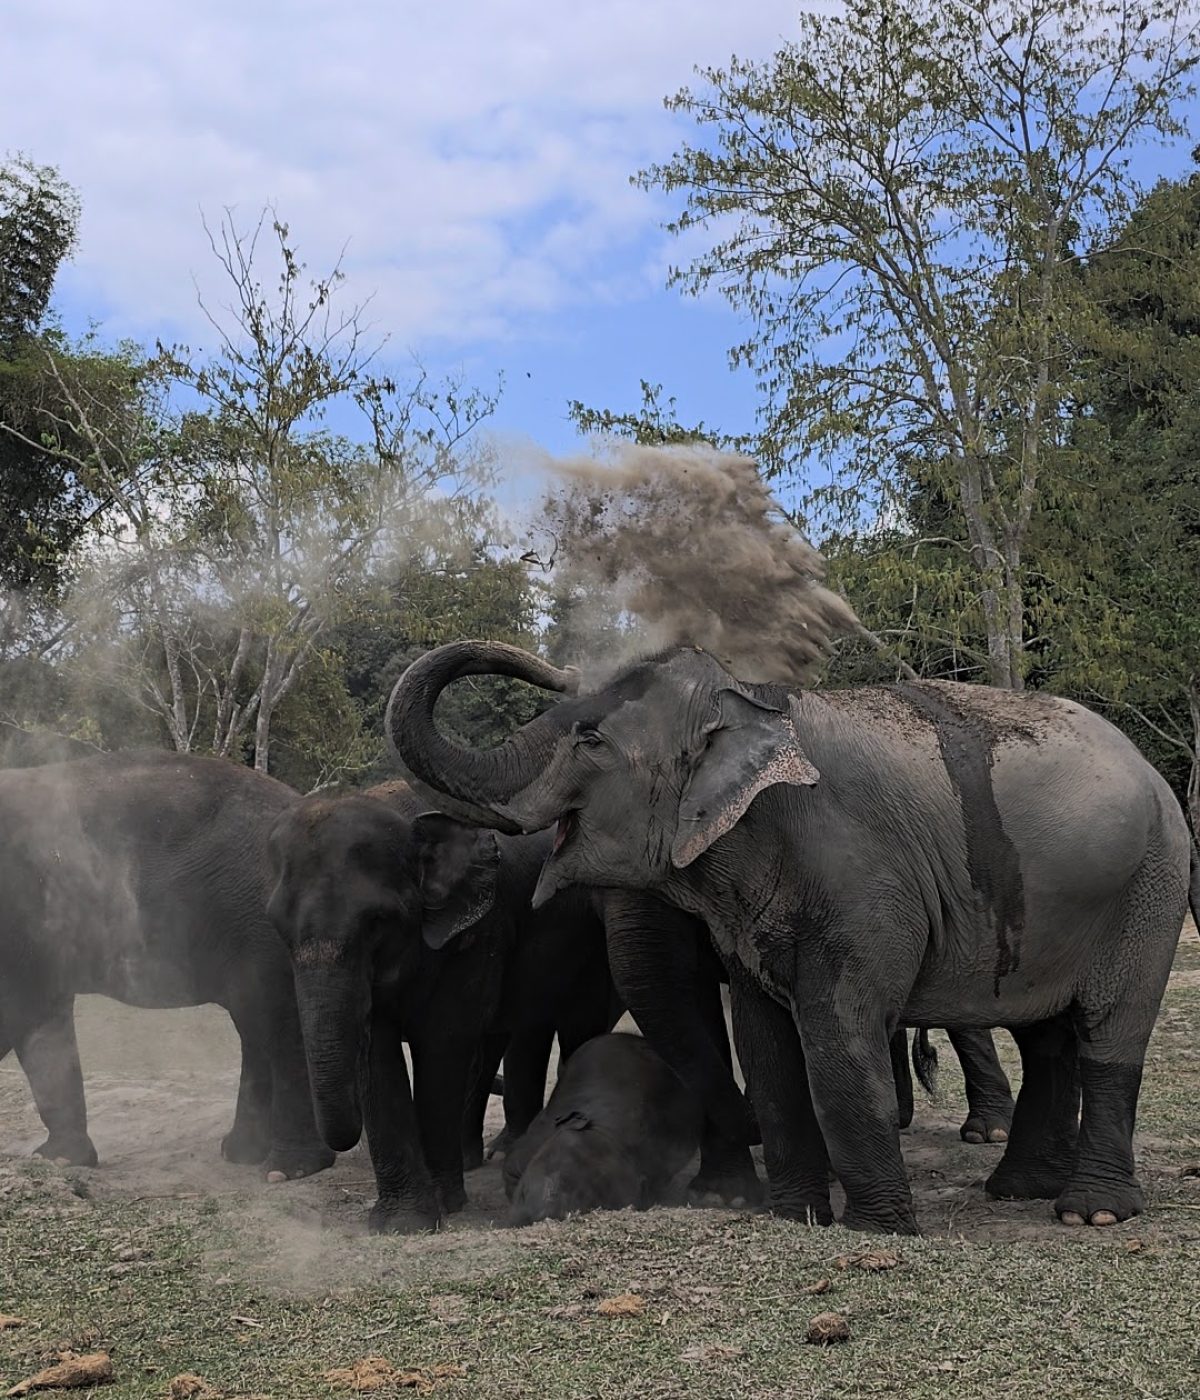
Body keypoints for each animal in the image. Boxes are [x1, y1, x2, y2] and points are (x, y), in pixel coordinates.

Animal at [0, 751, 333, 1180]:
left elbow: (20, 1011)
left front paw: (56, 1159)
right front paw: (60, 1159)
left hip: (268, 927)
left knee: (278, 1023)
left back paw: (287, 1169)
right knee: (255, 1025)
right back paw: (242, 1152)